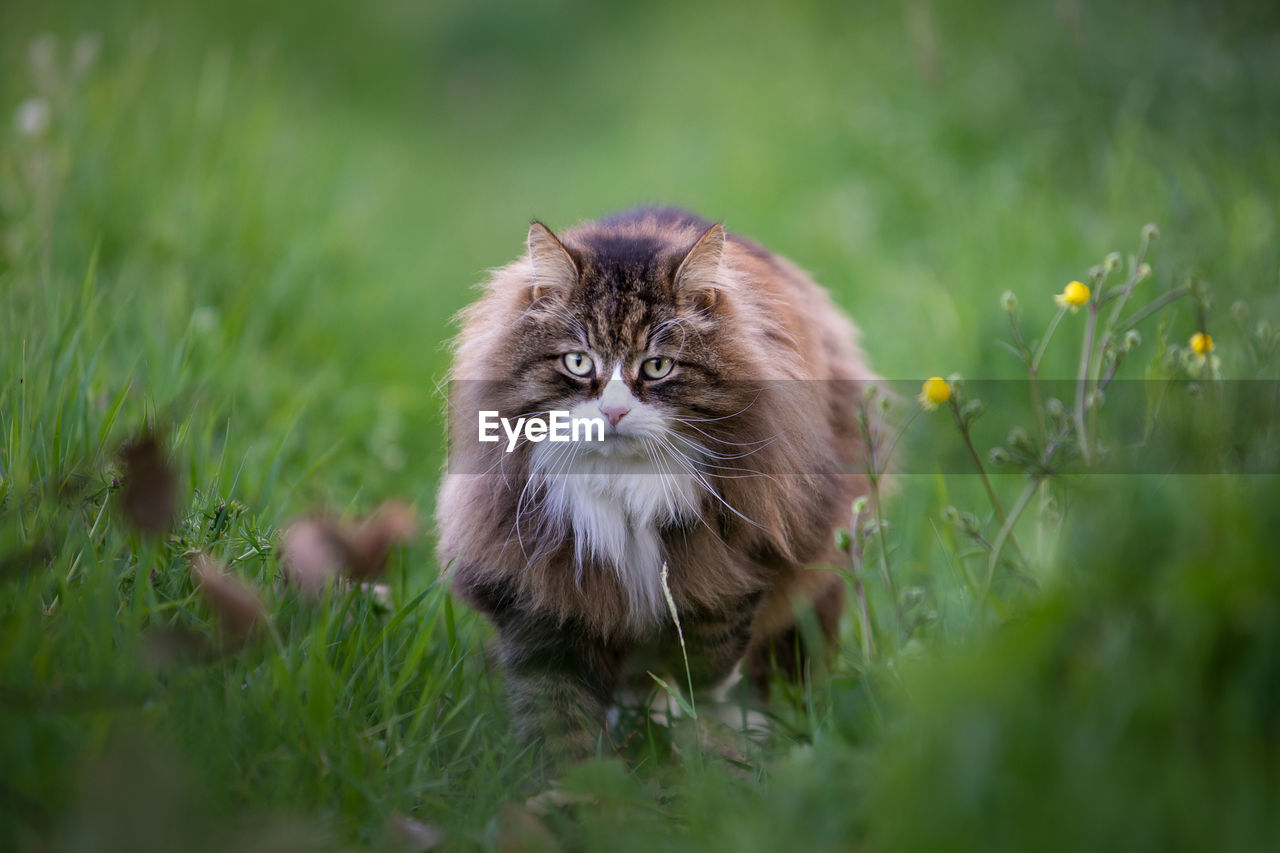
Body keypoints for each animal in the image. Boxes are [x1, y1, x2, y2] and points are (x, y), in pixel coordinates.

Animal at [435, 207, 875, 763]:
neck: (623, 487)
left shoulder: (740, 559)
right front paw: (575, 778)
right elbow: (558, 716)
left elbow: (709, 645)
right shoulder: (538, 591)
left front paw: (702, 707)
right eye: (578, 362)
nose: (614, 412)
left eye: (658, 366)